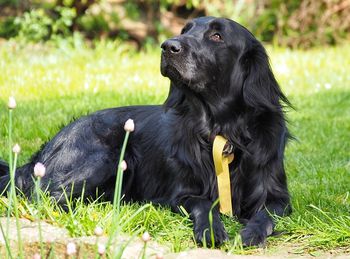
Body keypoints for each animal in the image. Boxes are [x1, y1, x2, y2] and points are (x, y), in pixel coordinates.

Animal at [0, 16, 292, 248]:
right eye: (185, 29)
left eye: (216, 36)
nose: (168, 46)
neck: (223, 130)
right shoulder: (182, 193)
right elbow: (204, 205)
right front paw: (210, 230)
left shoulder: (278, 197)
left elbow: (265, 215)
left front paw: (251, 233)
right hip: (106, 157)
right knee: (43, 197)